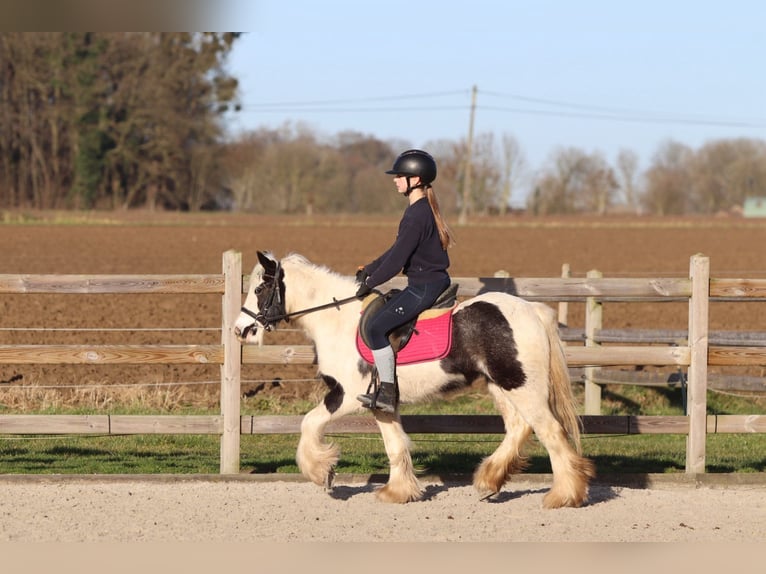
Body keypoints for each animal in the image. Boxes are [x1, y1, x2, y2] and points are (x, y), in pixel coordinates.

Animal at [234, 251, 595, 508]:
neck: (336, 320)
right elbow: (395, 445)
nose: (241, 330)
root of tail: (531, 310)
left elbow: (309, 423)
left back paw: (564, 495)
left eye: (259, 288)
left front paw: (321, 471)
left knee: (550, 432)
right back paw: (489, 480)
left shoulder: (347, 395)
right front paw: (398, 492)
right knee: (519, 427)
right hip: (502, 386)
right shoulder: (381, 403)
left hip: (521, 386)